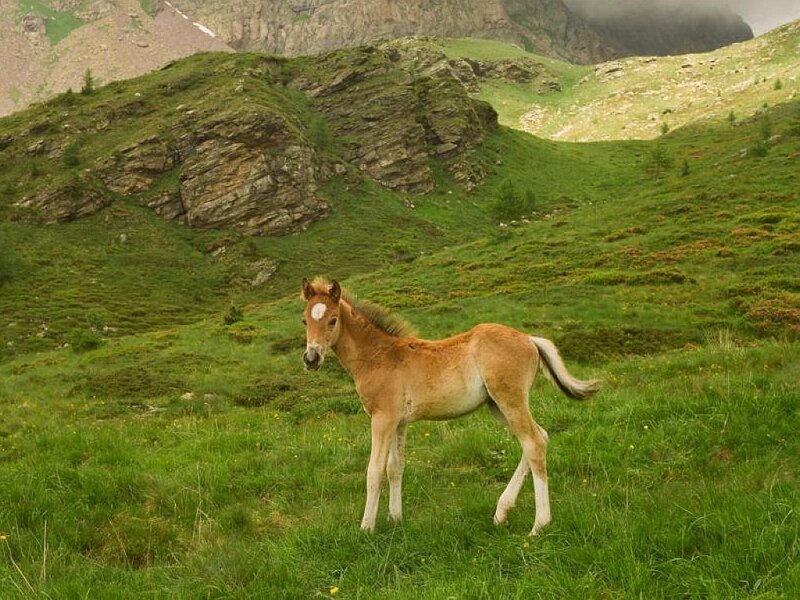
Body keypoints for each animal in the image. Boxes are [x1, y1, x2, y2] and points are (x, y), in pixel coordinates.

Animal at [300, 277, 600, 535]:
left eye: (332, 320)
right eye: (304, 320)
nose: (311, 358)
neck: (378, 357)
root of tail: (529, 339)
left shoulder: (382, 419)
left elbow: (374, 471)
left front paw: (366, 528)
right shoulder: (399, 422)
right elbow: (395, 468)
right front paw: (396, 519)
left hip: (510, 399)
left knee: (534, 443)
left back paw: (539, 525)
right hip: (497, 405)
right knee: (540, 437)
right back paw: (501, 512)